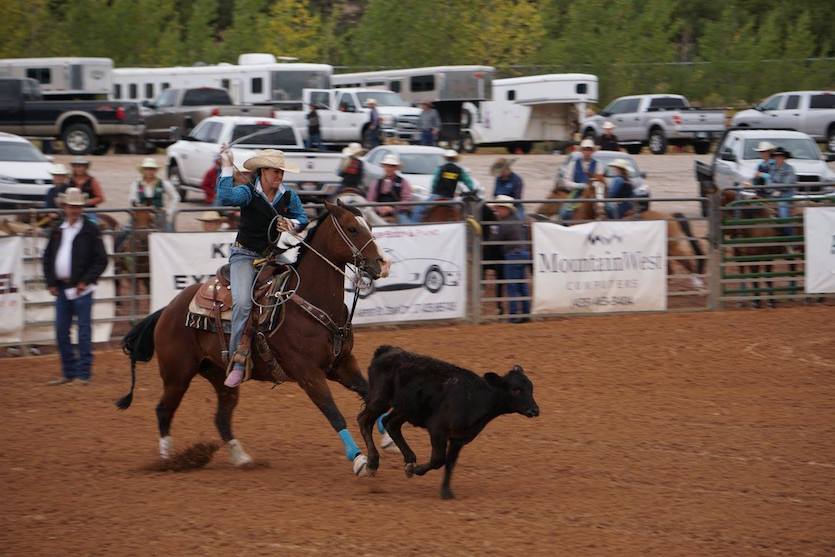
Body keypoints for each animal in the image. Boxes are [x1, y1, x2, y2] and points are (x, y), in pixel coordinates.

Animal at [116, 200, 388, 474]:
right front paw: (359, 458)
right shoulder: (308, 373)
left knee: (221, 417)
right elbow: (332, 411)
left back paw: (241, 458)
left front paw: (386, 438)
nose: (383, 264)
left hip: (217, 374)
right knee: (164, 410)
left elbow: (369, 392)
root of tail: (167, 309)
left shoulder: (341, 364)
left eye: (369, 224)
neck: (312, 303)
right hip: (177, 374)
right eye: (352, 229)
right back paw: (167, 461)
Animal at [360, 346, 544, 498]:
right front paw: (418, 469)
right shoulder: (438, 429)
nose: (534, 410)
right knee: (364, 421)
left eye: (531, 388)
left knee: (390, 423)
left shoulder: (459, 438)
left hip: (404, 409)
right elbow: (438, 460)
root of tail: (387, 351)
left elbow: (450, 463)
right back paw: (373, 463)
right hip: (380, 399)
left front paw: (446, 491)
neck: (476, 398)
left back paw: (409, 460)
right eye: (516, 390)